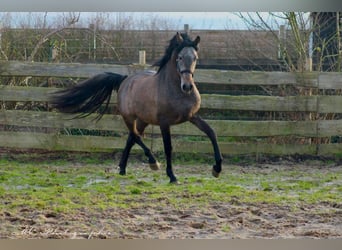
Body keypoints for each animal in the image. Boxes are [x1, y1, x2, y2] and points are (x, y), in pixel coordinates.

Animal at [50, 32, 222, 183]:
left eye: (195, 58)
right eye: (179, 57)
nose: (187, 86)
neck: (175, 90)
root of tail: (125, 79)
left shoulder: (192, 116)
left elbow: (212, 133)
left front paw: (217, 169)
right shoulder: (164, 123)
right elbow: (168, 147)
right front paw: (172, 176)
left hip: (143, 120)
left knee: (131, 138)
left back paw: (122, 168)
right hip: (128, 117)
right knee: (135, 136)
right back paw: (153, 163)